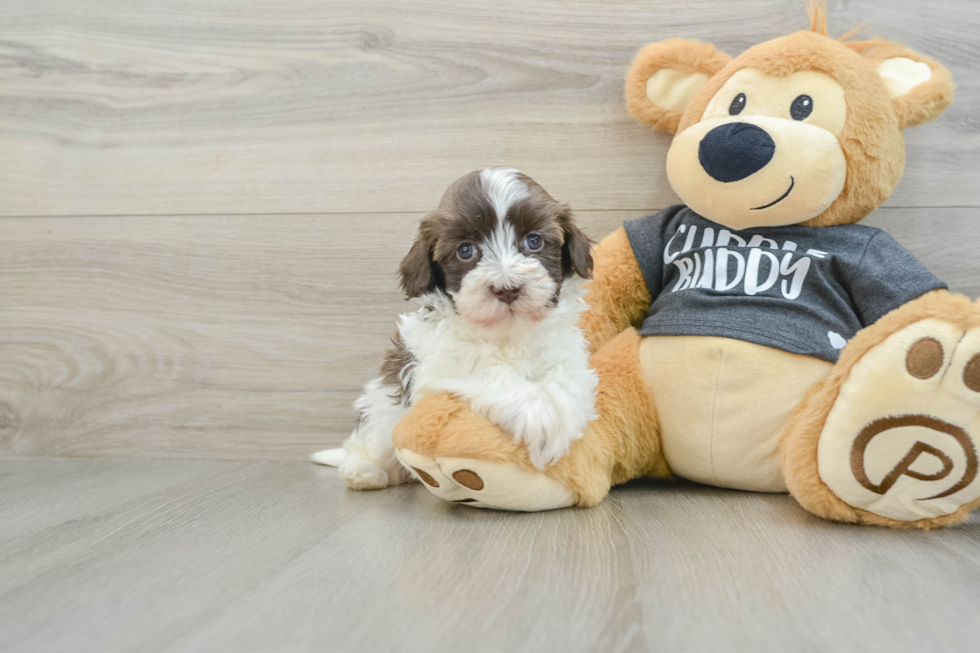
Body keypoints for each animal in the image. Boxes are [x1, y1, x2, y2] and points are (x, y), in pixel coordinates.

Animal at [312, 168, 596, 488]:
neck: (506, 332)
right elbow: (484, 371)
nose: (507, 289)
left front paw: (561, 420)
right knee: (368, 442)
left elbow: (566, 382)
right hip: (379, 411)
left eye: (533, 241)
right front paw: (540, 418)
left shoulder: (566, 353)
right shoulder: (434, 370)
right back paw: (363, 471)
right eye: (465, 250)